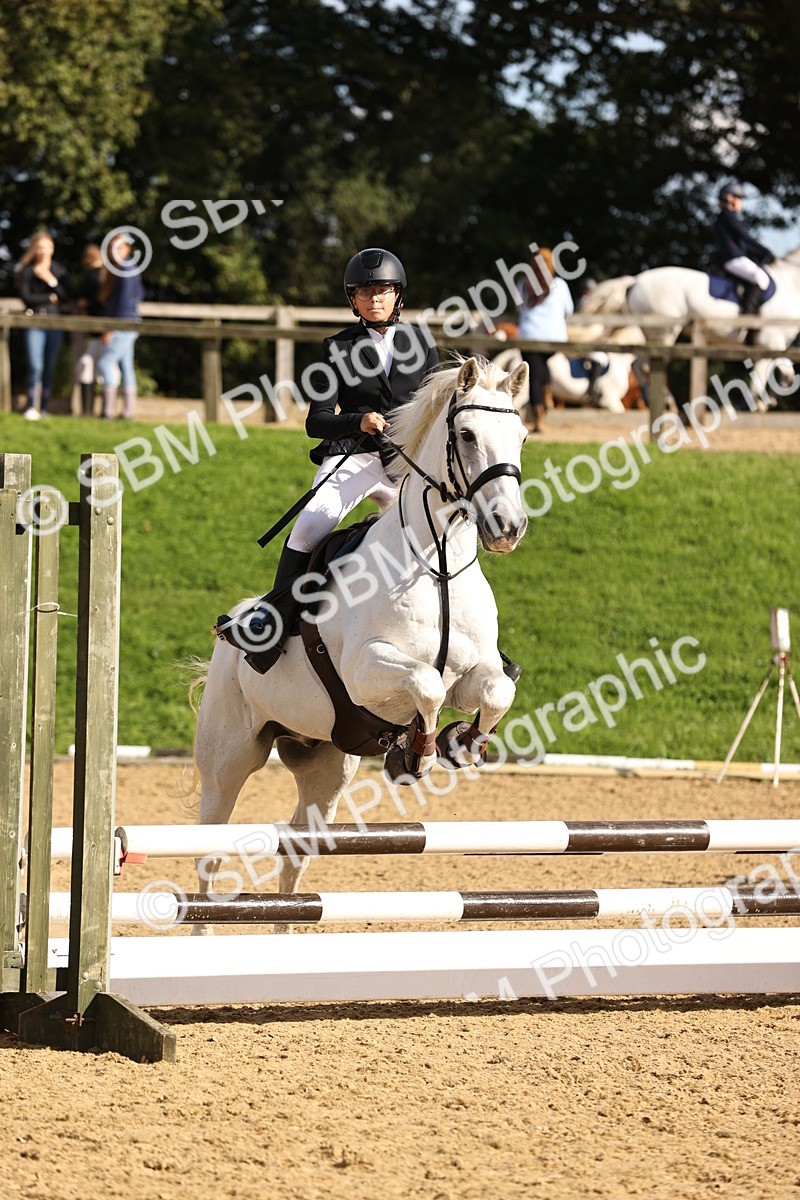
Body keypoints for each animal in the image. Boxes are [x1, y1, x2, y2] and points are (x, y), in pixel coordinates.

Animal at [193, 356, 529, 914]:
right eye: (466, 434)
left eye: (521, 436)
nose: (508, 526)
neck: (436, 564)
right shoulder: (366, 672)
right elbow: (425, 685)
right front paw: (418, 752)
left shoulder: (471, 672)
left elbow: (496, 690)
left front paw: (462, 743)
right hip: (228, 760)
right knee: (209, 855)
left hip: (326, 765)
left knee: (295, 853)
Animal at [581, 250, 800, 408]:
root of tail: (635, 281)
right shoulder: (771, 341)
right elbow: (763, 380)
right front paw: (757, 405)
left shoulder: (773, 345)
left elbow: (785, 374)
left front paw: (766, 401)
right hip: (665, 333)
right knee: (647, 365)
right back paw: (665, 400)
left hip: (652, 334)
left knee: (638, 364)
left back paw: (657, 400)